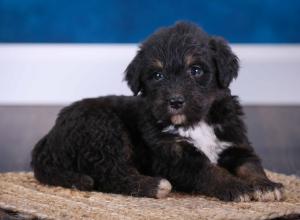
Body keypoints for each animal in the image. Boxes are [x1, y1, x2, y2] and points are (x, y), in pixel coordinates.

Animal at [31, 21, 284, 202]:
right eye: (157, 75)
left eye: (196, 70)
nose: (175, 101)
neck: (196, 122)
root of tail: (49, 138)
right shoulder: (173, 158)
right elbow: (210, 170)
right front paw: (235, 186)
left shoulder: (235, 143)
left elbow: (251, 166)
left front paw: (266, 186)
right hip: (103, 129)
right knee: (109, 175)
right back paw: (153, 186)